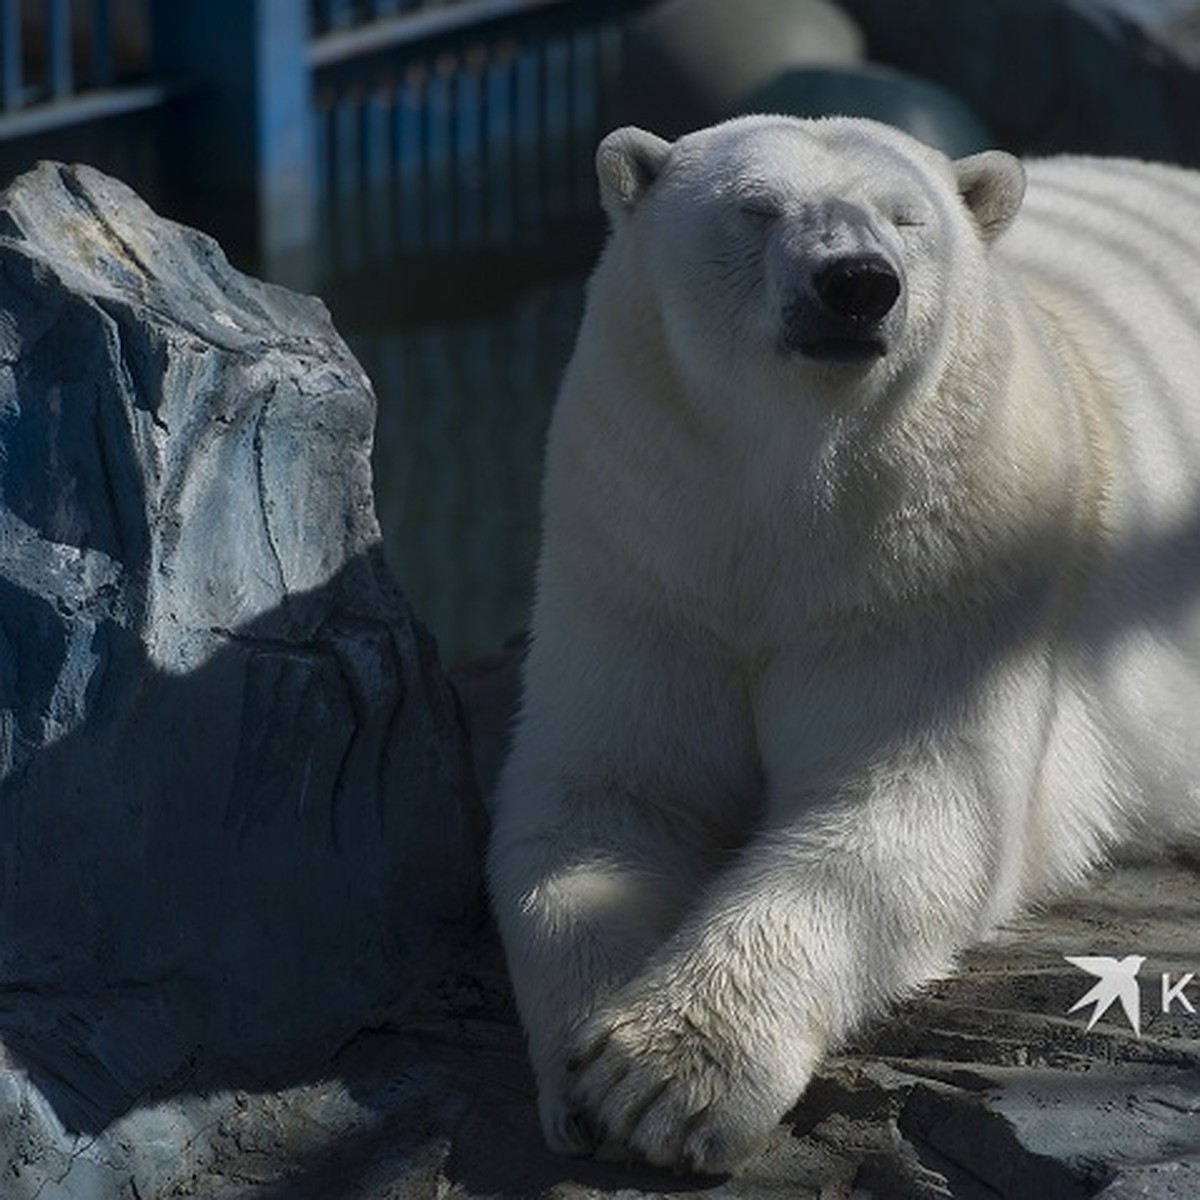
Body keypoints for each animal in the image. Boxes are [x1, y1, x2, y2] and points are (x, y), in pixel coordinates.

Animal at [482, 117, 1200, 1176]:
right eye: (757, 207)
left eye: (906, 219)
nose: (857, 283)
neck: (790, 489)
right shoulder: (644, 550)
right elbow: (605, 797)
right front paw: (583, 1069)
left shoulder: (941, 560)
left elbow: (911, 802)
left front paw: (664, 1077)